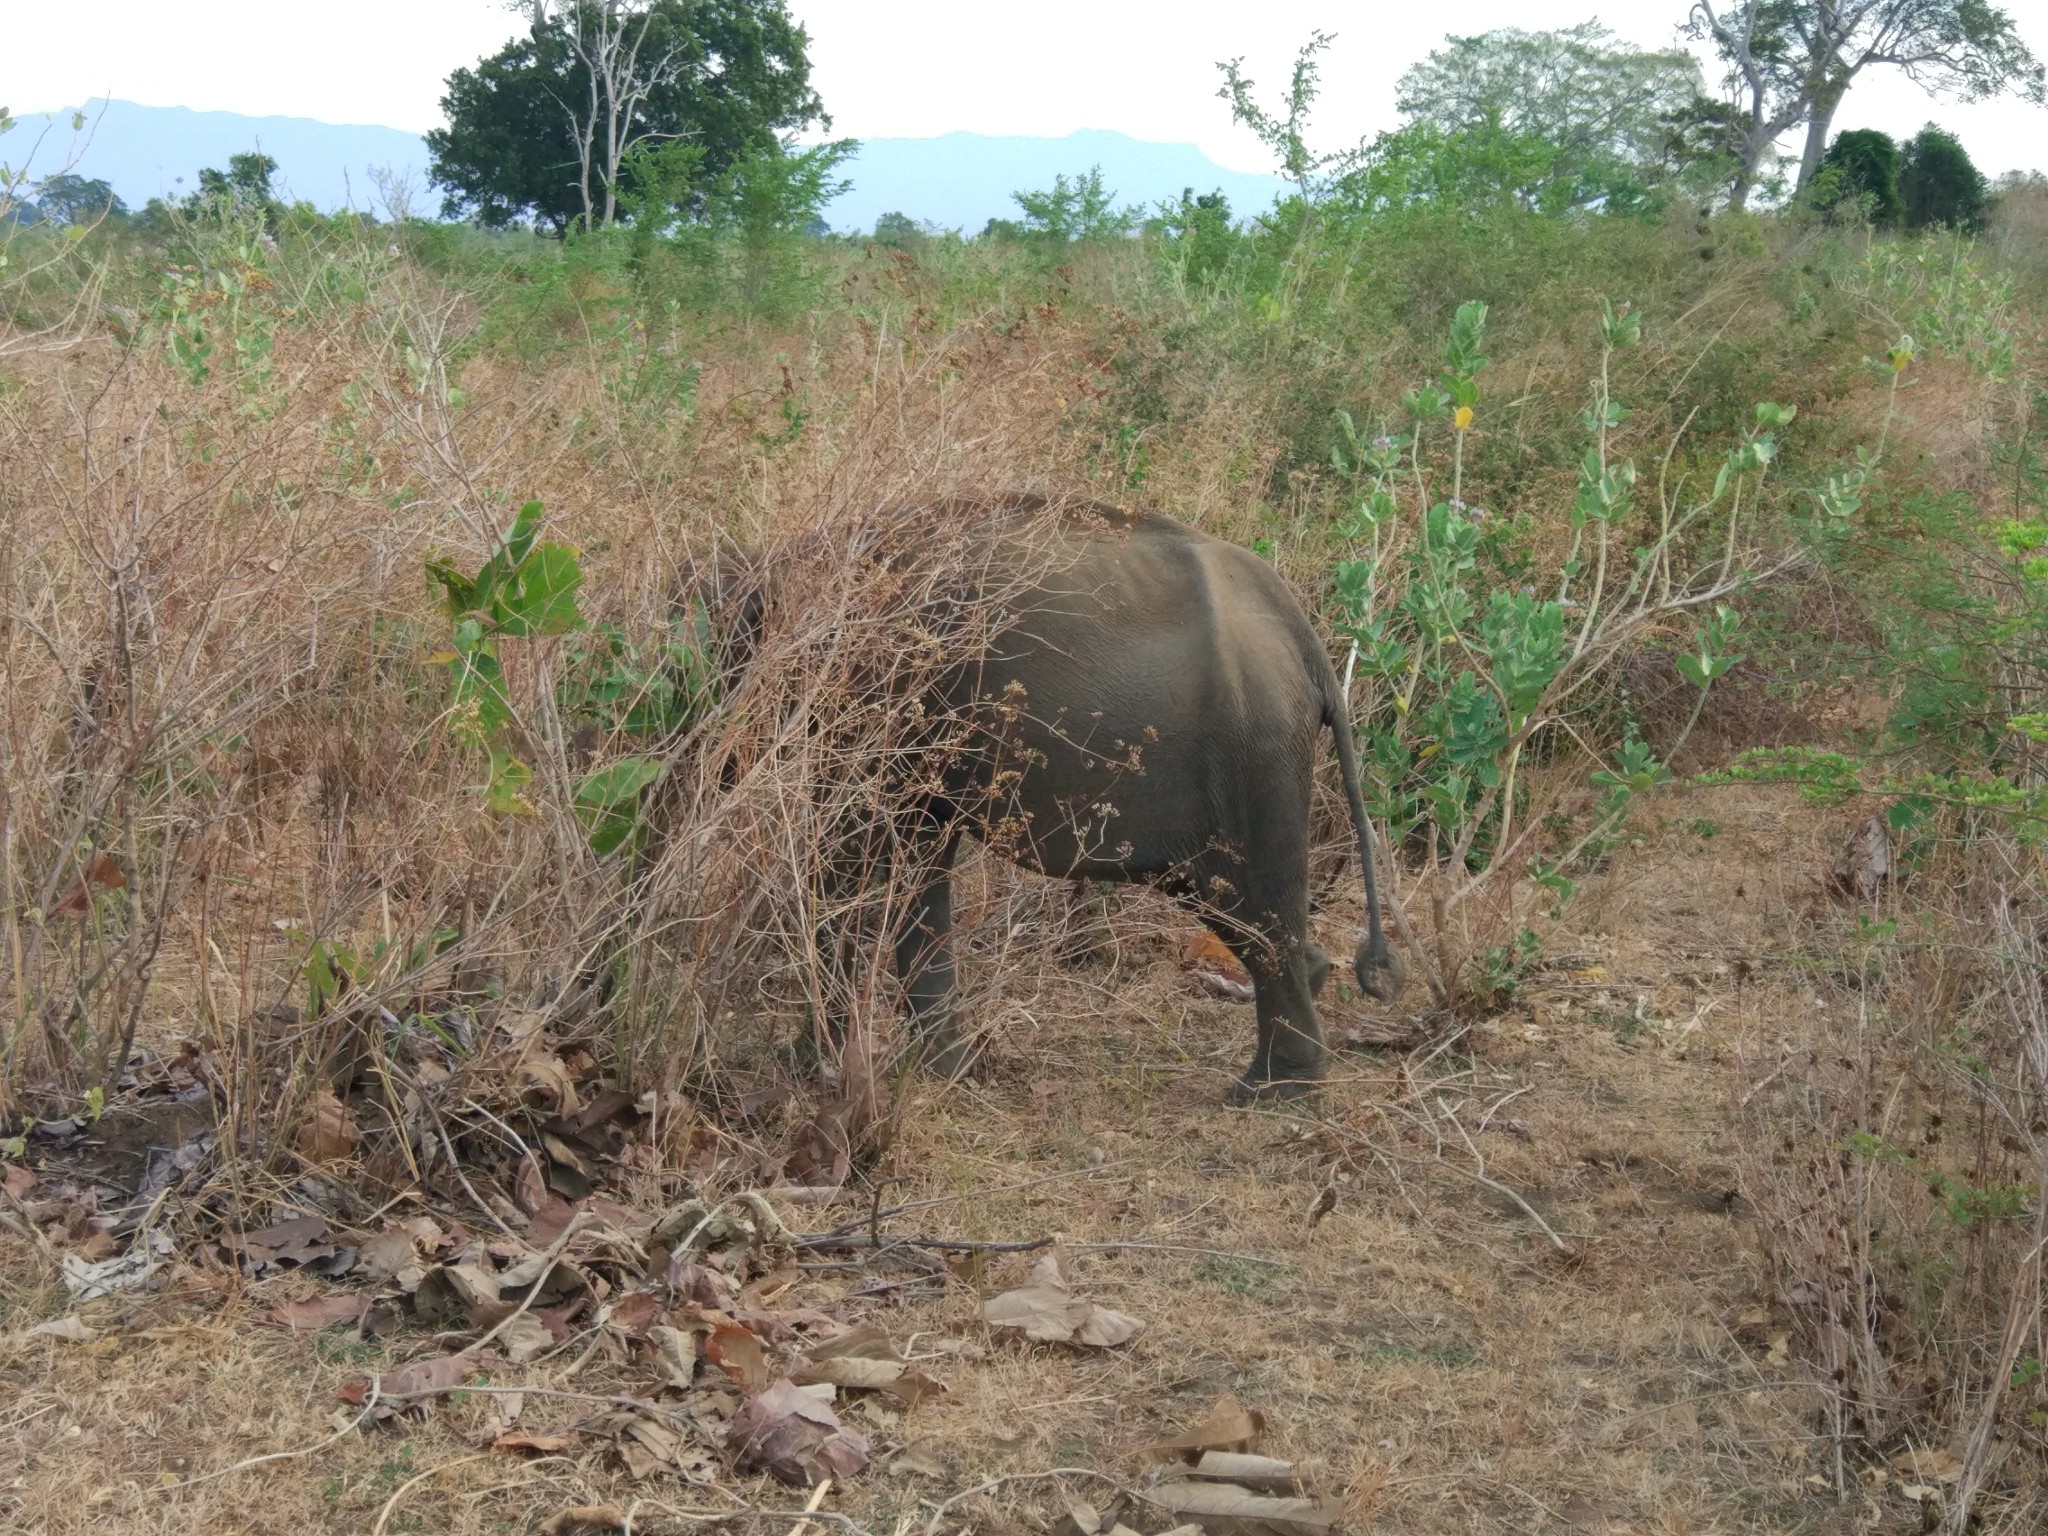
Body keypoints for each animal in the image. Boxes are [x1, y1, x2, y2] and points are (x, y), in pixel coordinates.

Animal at [700, 495, 1392, 1105]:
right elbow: (917, 867)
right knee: (1240, 911)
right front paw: (944, 1072)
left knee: (1254, 911)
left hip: (1253, 758)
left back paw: (1267, 1094)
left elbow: (849, 861)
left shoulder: (876, 703)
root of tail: (1309, 645)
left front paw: (809, 1068)